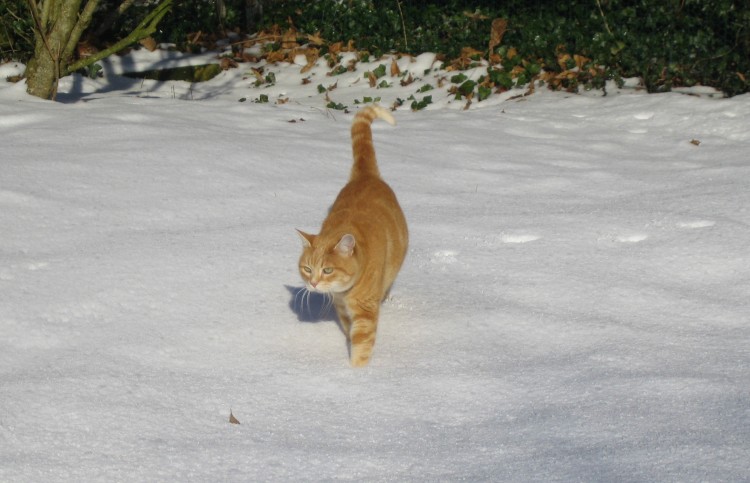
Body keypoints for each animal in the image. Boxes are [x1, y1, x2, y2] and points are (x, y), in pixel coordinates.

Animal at [296, 106, 408, 368]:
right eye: (307, 269)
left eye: (327, 270)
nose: (313, 283)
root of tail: (365, 175)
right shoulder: (341, 308)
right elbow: (349, 331)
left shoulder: (365, 312)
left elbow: (362, 342)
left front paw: (356, 373)